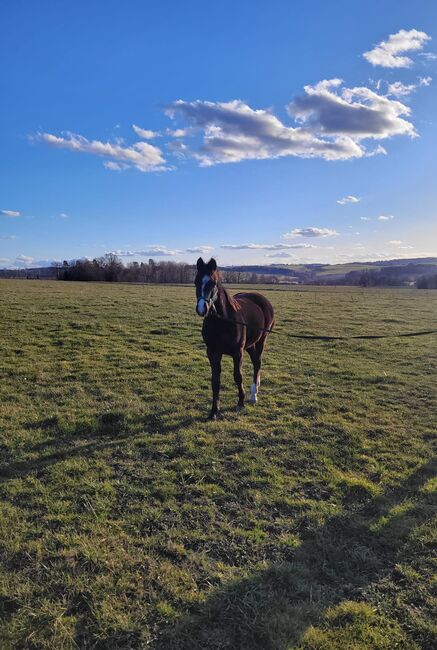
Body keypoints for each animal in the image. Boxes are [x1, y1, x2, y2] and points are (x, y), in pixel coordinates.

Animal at [194, 257, 275, 420]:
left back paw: (253, 395)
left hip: (261, 340)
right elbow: (215, 381)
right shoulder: (212, 352)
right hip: (250, 345)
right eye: (195, 281)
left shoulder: (237, 352)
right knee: (256, 361)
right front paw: (214, 411)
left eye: (213, 283)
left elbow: (238, 376)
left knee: (258, 362)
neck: (222, 321)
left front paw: (240, 403)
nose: (202, 308)